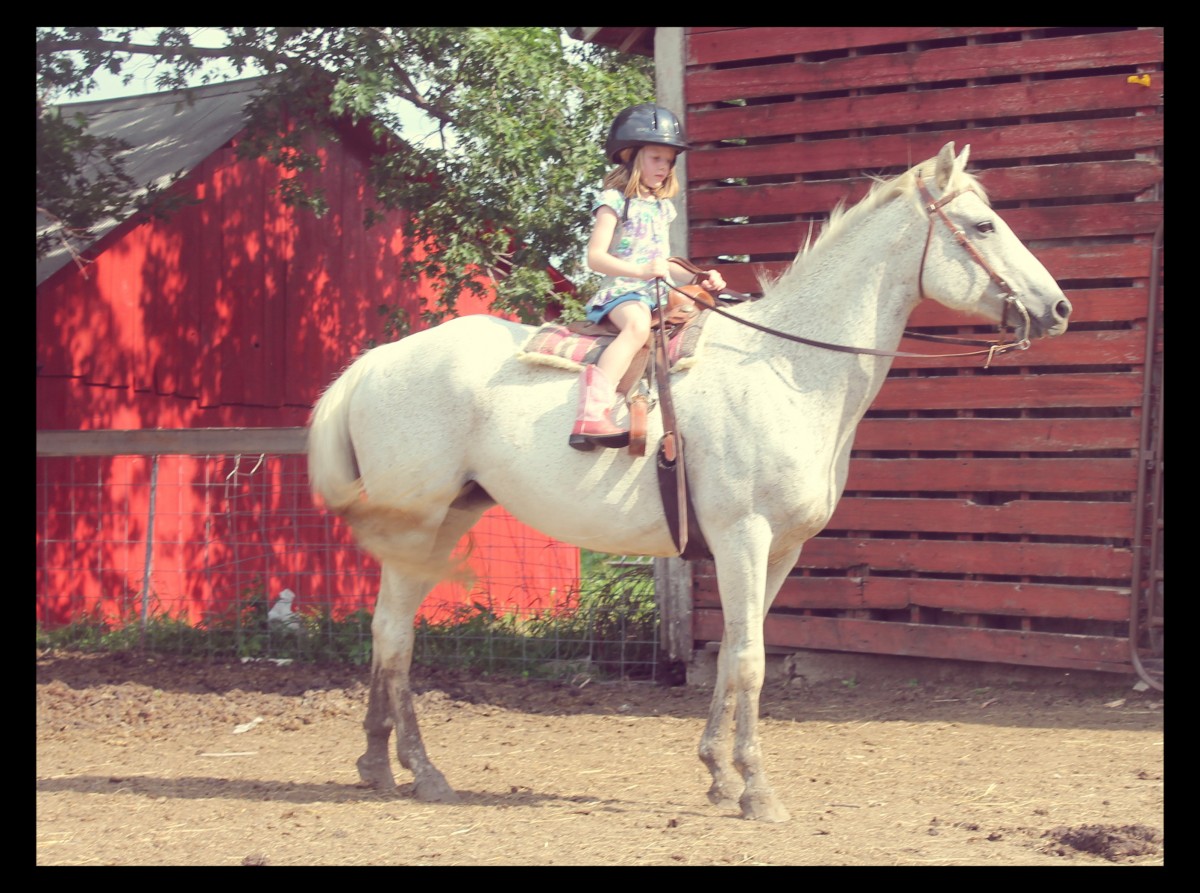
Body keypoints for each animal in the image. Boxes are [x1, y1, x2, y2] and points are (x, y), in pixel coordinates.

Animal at [307, 144, 1070, 820]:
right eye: (982, 225)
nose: (1058, 308)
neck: (788, 370)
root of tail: (372, 363)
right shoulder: (742, 535)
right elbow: (752, 660)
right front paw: (758, 791)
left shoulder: (780, 549)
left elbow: (735, 650)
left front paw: (718, 776)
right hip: (420, 527)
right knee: (395, 634)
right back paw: (423, 770)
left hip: (447, 522)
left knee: (391, 632)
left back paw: (377, 763)